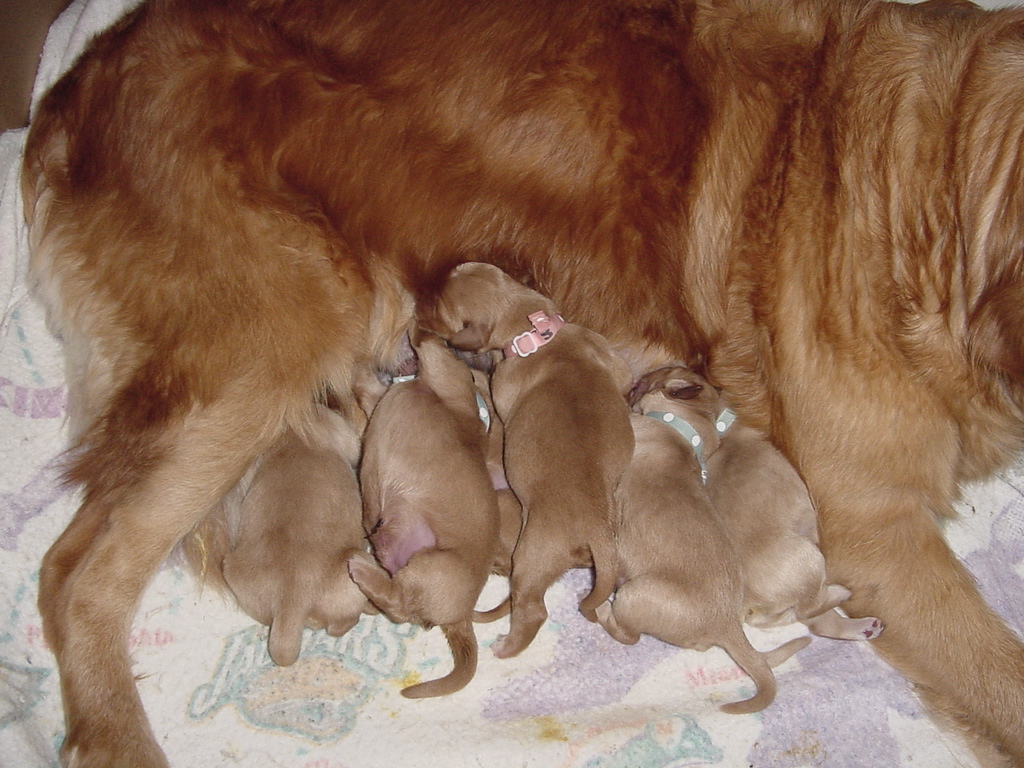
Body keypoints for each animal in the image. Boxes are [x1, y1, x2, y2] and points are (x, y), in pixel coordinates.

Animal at [348, 333, 499, 700]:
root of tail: (460, 618)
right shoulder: (383, 401)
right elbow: (369, 389)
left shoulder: (442, 372)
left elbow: (428, 345)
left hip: (432, 565)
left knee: (398, 603)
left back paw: (361, 567)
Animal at [421, 264, 630, 655]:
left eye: (438, 306)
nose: (416, 304)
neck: (537, 331)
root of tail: (595, 527)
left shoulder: (502, 389)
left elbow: (490, 391)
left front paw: (476, 374)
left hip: (532, 557)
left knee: (533, 610)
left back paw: (505, 647)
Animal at [598, 376, 811, 716]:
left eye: (648, 381)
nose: (633, 383)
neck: (683, 430)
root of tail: (728, 625)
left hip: (634, 596)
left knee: (627, 634)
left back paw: (603, 610)